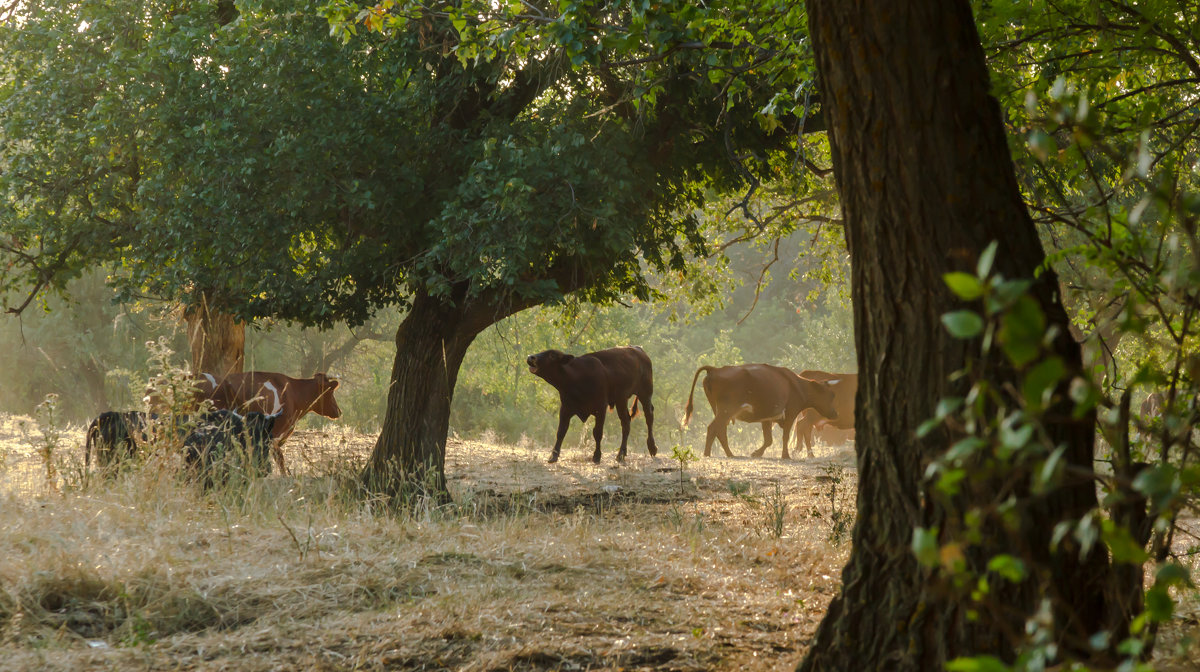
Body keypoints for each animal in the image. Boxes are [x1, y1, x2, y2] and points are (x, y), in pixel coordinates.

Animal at [525, 345, 662, 460]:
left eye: (552, 355)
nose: (531, 357)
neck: (575, 378)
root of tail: (638, 349)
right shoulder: (566, 408)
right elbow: (561, 431)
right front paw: (553, 456)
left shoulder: (600, 407)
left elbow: (597, 432)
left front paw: (596, 456)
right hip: (621, 399)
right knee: (626, 422)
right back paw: (622, 453)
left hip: (645, 394)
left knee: (648, 417)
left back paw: (651, 448)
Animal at [681, 362, 840, 460]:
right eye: (831, 395)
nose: (835, 414)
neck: (797, 385)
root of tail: (715, 369)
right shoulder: (790, 414)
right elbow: (784, 437)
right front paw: (785, 455)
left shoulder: (767, 418)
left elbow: (768, 440)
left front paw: (757, 453)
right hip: (726, 410)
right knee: (714, 428)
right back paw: (715, 454)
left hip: (721, 411)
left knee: (719, 430)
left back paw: (724, 453)